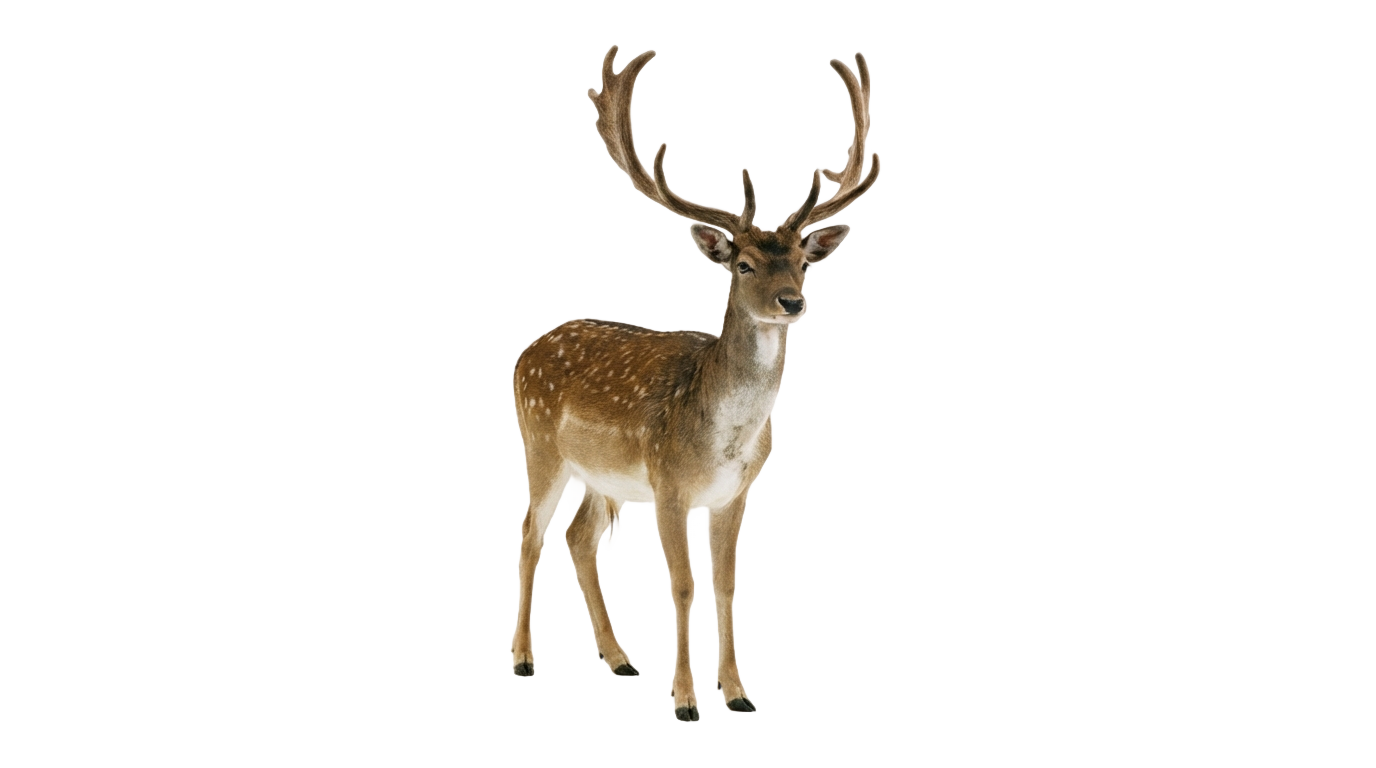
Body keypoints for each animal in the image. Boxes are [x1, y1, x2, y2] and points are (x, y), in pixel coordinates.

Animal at [508, 46, 880, 723]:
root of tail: (529, 351)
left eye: (802, 261)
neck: (717, 438)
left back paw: (621, 661)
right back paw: (523, 661)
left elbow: (725, 584)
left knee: (576, 536)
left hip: (592, 472)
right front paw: (684, 701)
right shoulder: (666, 482)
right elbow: (679, 584)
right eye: (744, 263)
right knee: (529, 528)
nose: (792, 302)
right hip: (542, 444)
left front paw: (738, 696)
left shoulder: (736, 491)